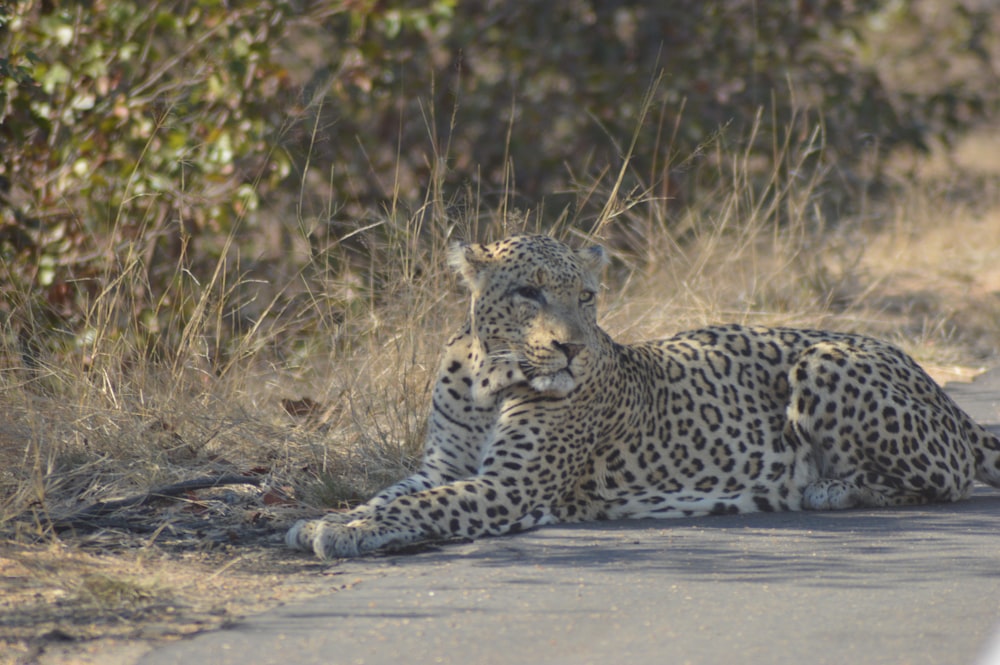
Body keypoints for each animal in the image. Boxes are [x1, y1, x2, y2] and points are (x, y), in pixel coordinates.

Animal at [286, 233, 1000, 556]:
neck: (487, 380)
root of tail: (948, 399)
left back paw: (826, 489)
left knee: (947, 478)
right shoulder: (444, 465)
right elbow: (392, 494)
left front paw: (345, 532)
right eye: (529, 293)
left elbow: (420, 505)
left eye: (587, 296)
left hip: (824, 360)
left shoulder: (511, 486)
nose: (571, 348)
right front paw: (325, 521)